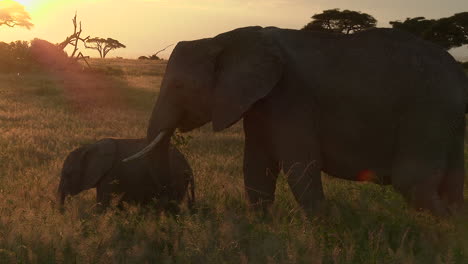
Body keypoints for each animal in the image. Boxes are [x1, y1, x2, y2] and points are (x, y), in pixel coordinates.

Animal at [58, 138, 194, 210]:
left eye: (68, 174)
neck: (88, 147)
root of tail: (187, 164)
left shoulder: (110, 174)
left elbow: (103, 203)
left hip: (176, 178)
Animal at [126, 25, 466, 216]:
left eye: (178, 86)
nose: (175, 206)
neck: (224, 38)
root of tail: (457, 72)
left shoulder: (292, 96)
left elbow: (298, 164)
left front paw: (323, 230)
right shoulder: (260, 101)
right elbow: (257, 165)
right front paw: (259, 228)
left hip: (427, 114)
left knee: (414, 182)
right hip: (447, 121)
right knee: (450, 185)